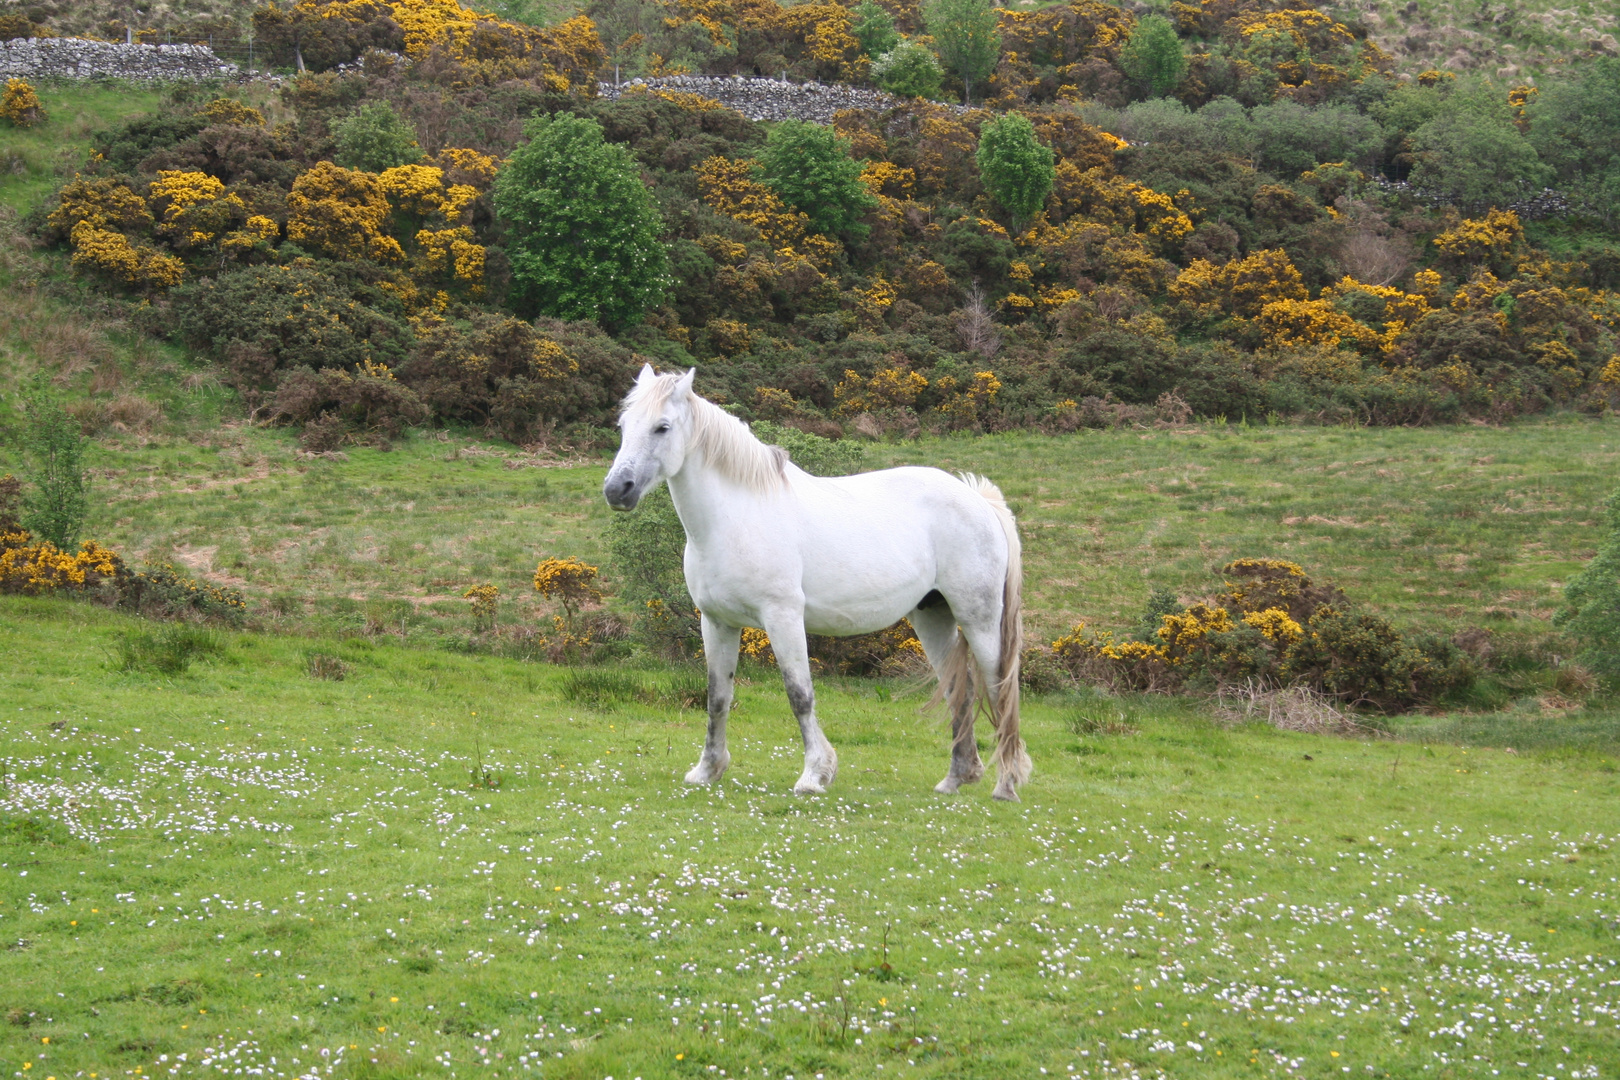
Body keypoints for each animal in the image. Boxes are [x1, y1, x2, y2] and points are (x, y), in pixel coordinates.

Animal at [602, 372, 1030, 803]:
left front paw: (814, 774)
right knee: (960, 688)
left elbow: (799, 694)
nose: (617, 490)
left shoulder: (783, 618)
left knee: (1000, 688)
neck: (736, 517)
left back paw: (1006, 785)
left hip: (978, 621)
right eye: (623, 426)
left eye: (662, 427)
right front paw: (707, 770)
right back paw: (956, 778)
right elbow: (717, 696)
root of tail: (979, 500)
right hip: (933, 618)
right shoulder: (717, 622)